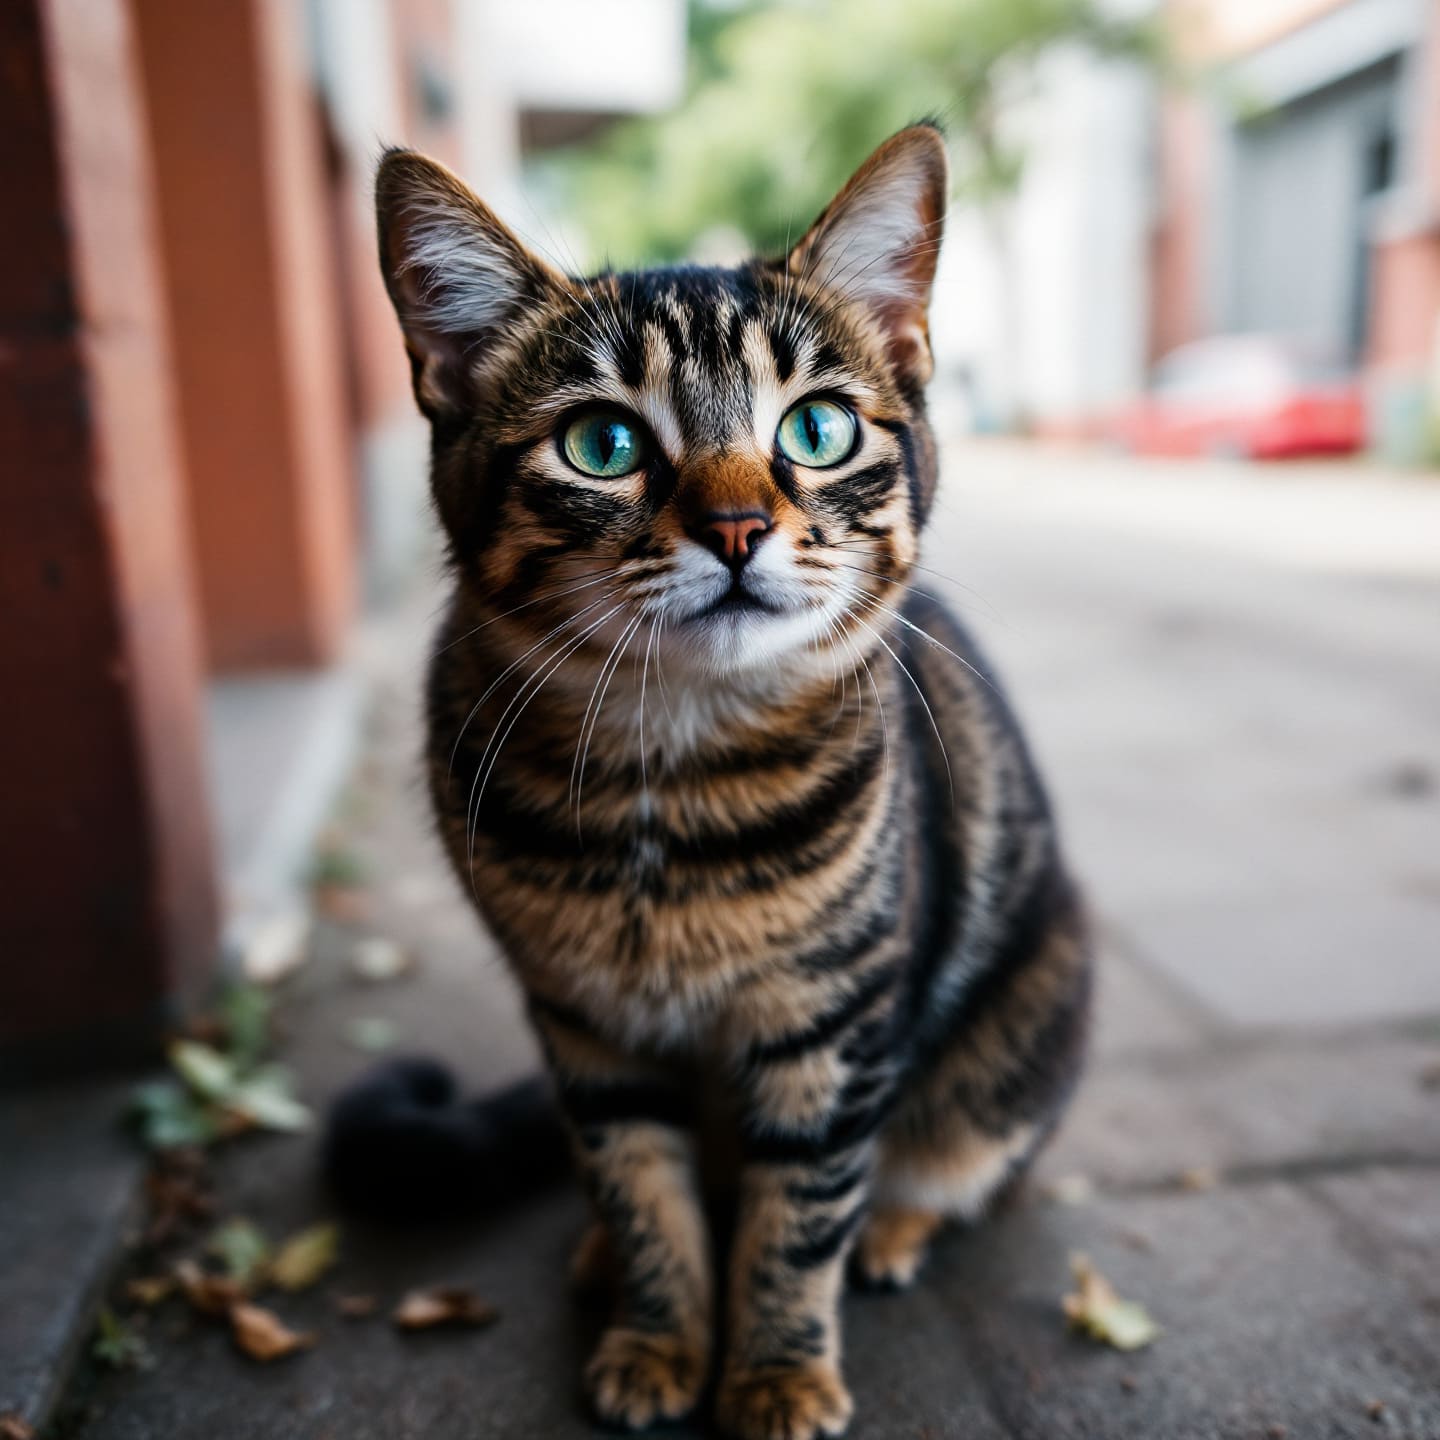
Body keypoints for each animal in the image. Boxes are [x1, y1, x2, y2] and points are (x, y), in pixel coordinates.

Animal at [351, 123, 1088, 1440]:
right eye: (602, 445)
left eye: (817, 430)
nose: (739, 527)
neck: (668, 784)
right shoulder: (586, 1028)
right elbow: (643, 1193)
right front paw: (658, 1337)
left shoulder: (830, 1028)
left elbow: (798, 1222)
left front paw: (776, 1373)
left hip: (1023, 1016)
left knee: (957, 1168)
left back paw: (894, 1229)